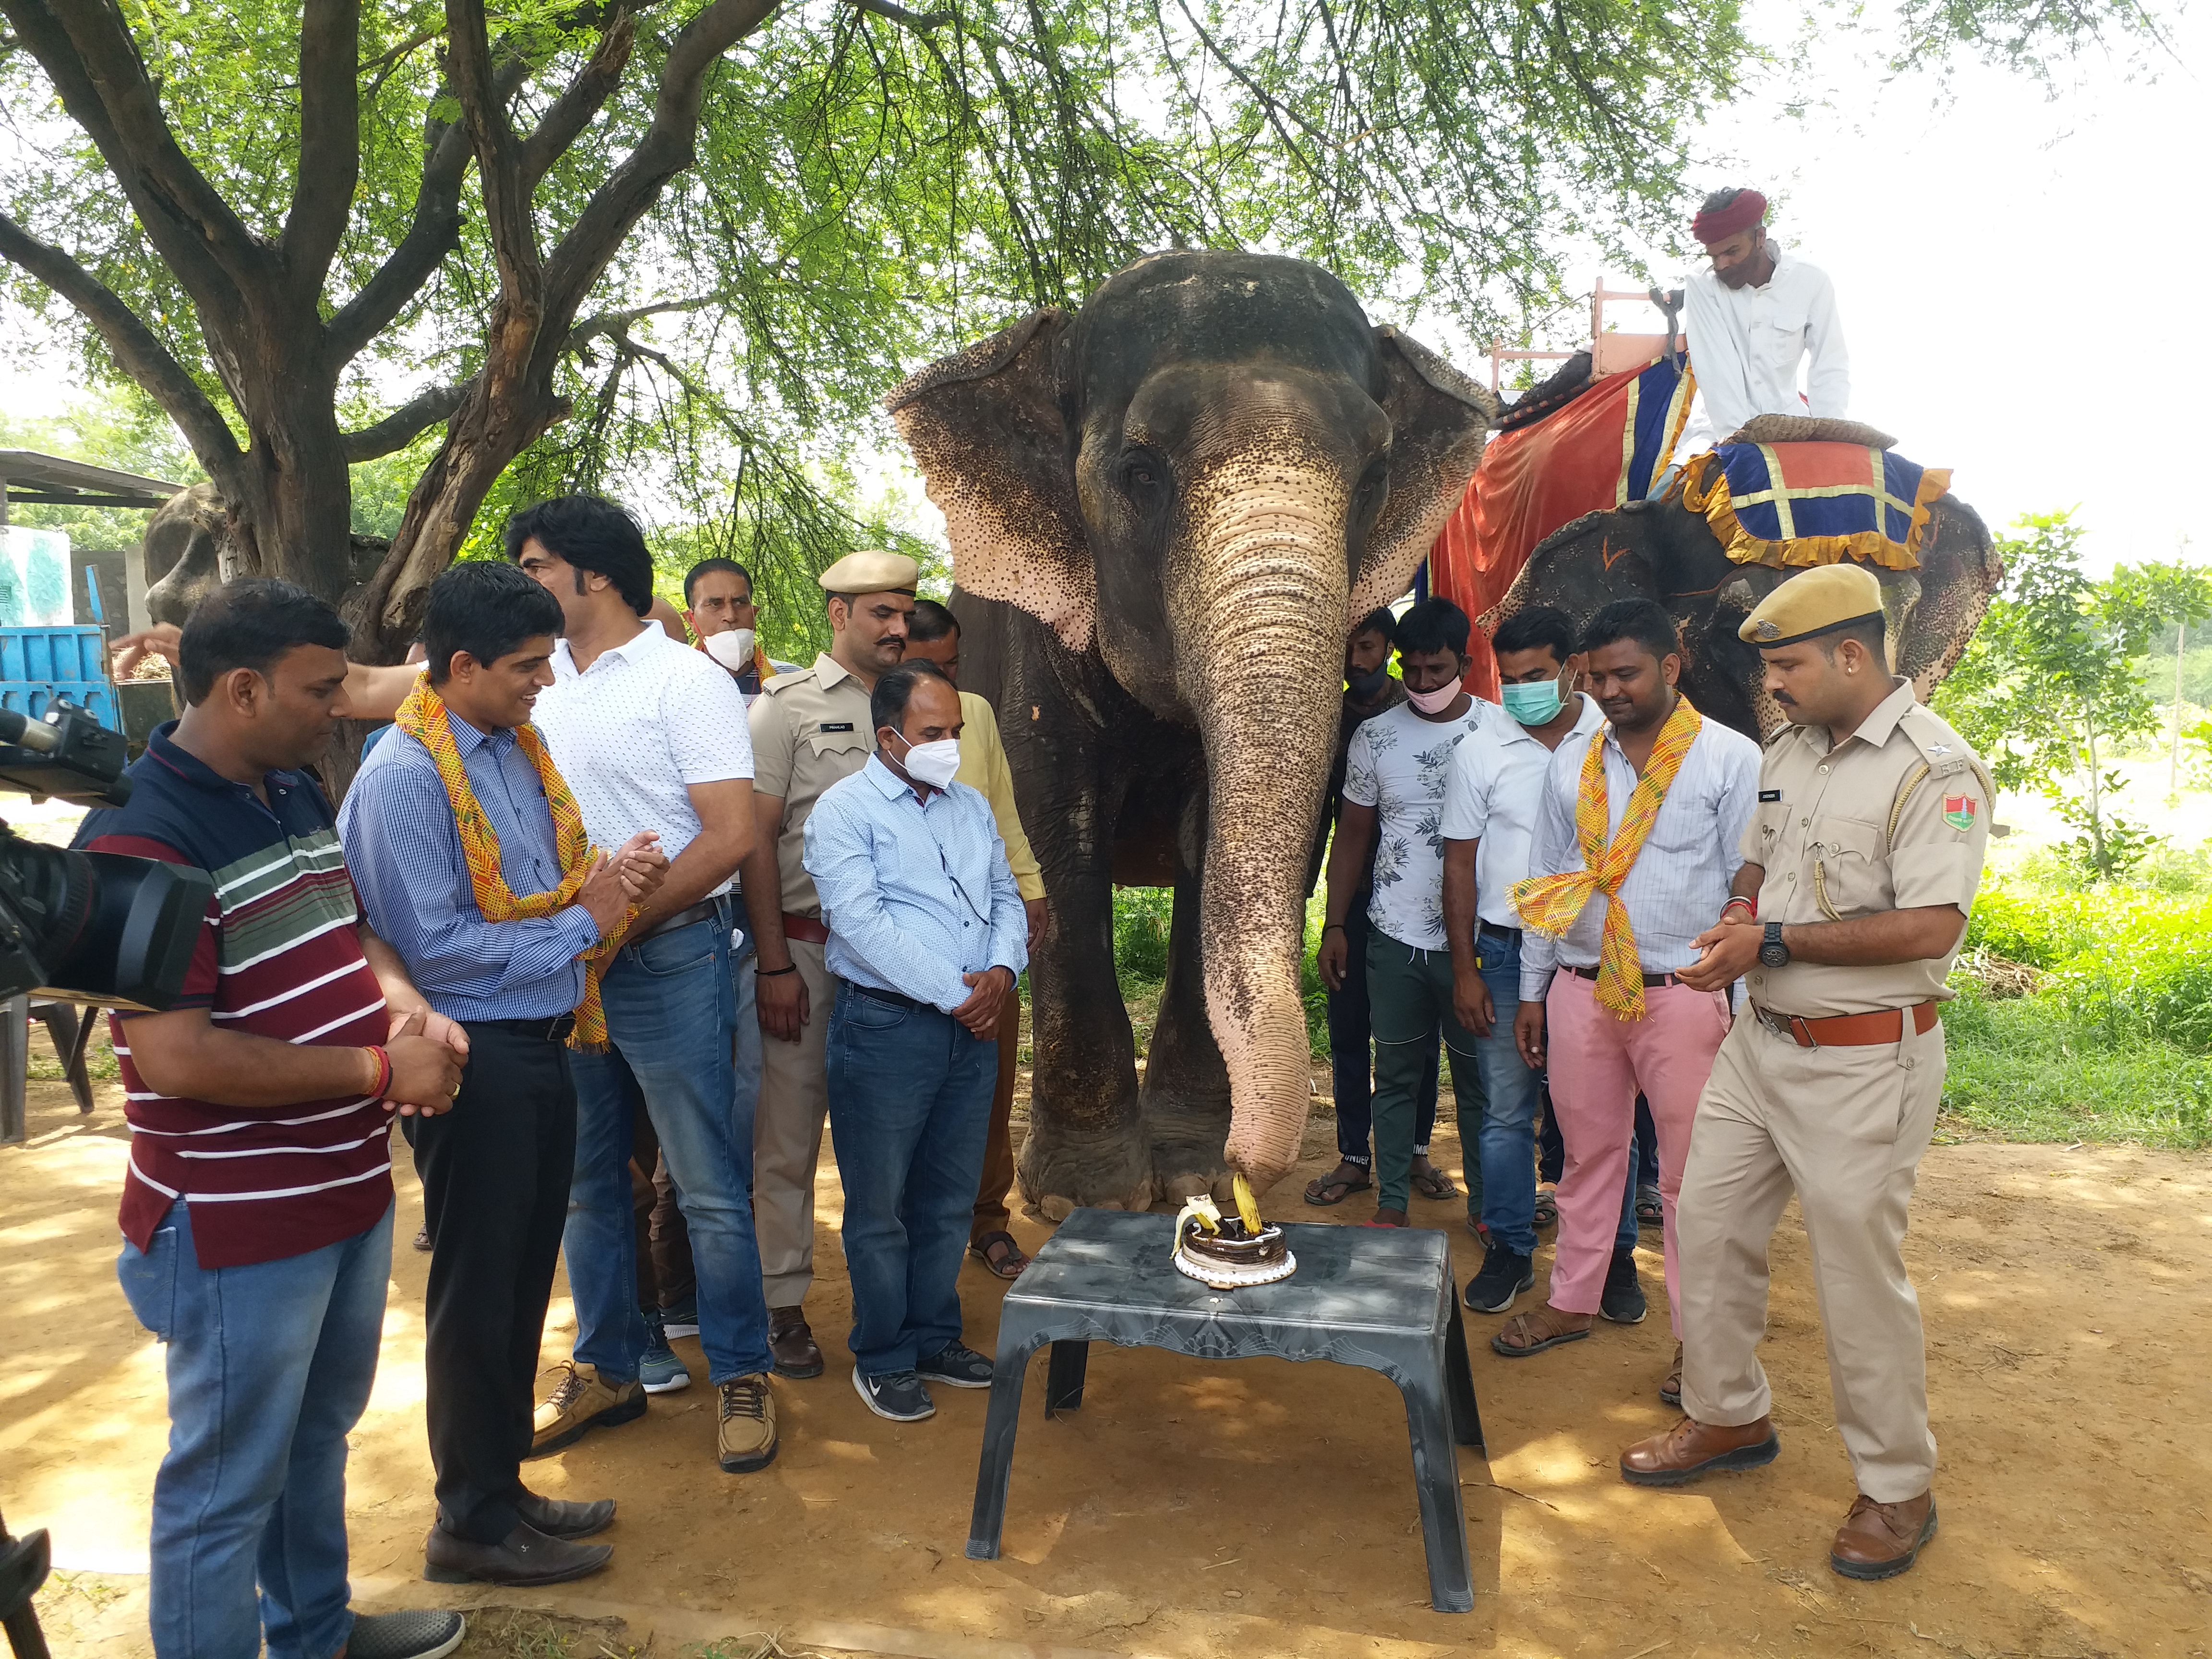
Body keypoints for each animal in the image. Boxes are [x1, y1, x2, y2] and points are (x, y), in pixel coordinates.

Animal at [889, 250, 1495, 1212]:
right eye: (1139, 473)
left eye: (1371, 480)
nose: (1248, 1179)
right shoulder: (1035, 655)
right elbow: (1055, 847)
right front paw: (1088, 1197)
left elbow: (1208, 847)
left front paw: (1189, 1172)